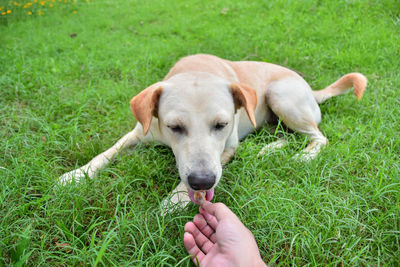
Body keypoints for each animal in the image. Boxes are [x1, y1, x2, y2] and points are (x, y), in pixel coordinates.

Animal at [57, 54, 368, 213]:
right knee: (287, 135)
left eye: (221, 124)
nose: (202, 180)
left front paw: (174, 201)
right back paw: (269, 149)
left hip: (281, 96)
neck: (197, 69)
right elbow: (106, 153)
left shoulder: (227, 148)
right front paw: (76, 175)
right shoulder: (138, 133)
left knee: (318, 137)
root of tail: (310, 89)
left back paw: (304, 157)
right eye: (174, 127)